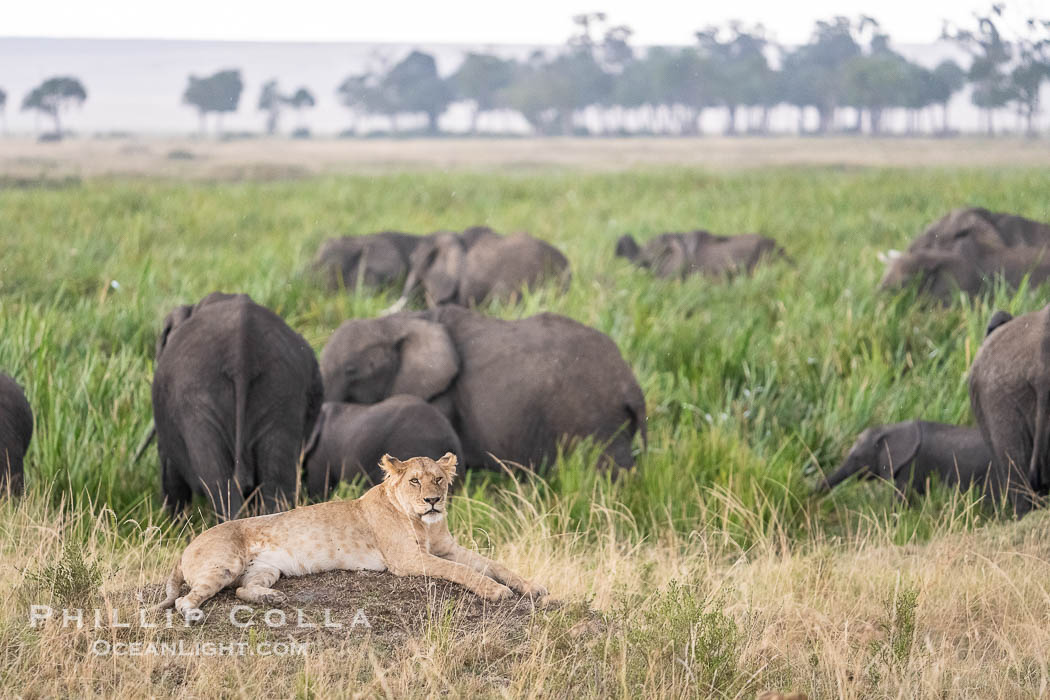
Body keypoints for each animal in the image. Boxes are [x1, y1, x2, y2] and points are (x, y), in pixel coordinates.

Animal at [151, 292, 323, 519]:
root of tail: (241, 354)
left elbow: (170, 472)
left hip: (197, 401)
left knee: (220, 485)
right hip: (282, 393)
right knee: (277, 485)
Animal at [156, 453, 547, 622]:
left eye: (438, 479)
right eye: (414, 481)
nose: (433, 501)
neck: (425, 524)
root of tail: (185, 547)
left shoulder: (446, 547)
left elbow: (492, 563)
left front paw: (531, 586)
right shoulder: (407, 560)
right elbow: (462, 572)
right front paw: (496, 591)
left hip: (265, 569)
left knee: (241, 590)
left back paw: (272, 599)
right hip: (224, 565)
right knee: (185, 598)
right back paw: (193, 614)